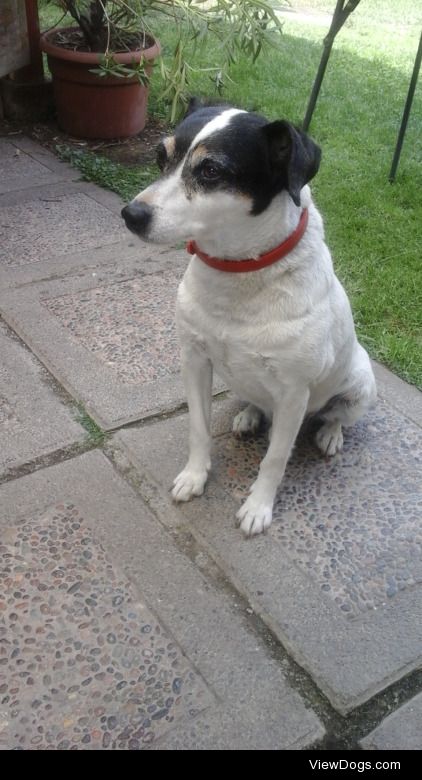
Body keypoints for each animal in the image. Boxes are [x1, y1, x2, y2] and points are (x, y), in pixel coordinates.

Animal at [121, 99, 376, 536]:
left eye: (210, 170)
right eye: (160, 157)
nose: (130, 213)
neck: (238, 274)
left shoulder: (293, 393)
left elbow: (274, 459)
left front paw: (258, 507)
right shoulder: (195, 360)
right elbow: (199, 429)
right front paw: (195, 476)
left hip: (359, 385)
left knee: (336, 416)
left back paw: (329, 434)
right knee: (256, 402)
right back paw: (249, 415)